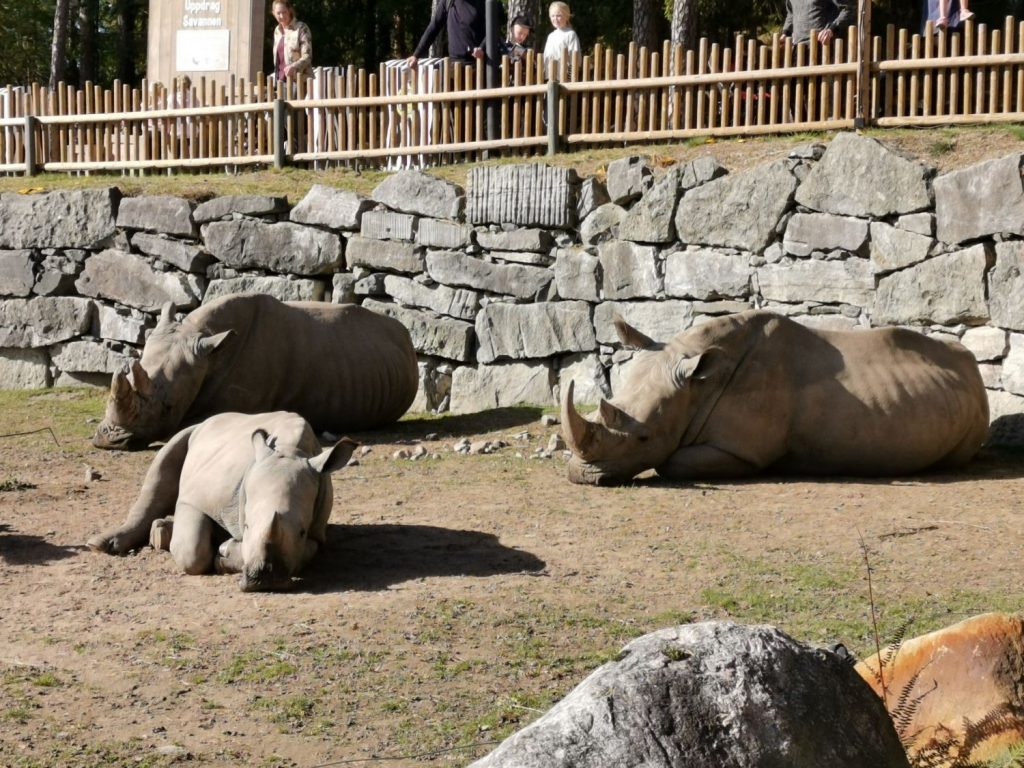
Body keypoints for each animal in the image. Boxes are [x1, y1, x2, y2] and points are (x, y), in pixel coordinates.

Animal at [89, 411, 360, 593]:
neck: (289, 451)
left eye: (302, 532)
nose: (264, 581)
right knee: (163, 465)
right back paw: (102, 545)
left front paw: (225, 551)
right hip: (192, 431)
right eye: (247, 525)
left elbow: (305, 552)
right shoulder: (194, 499)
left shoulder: (317, 532)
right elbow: (192, 552)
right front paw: (223, 550)